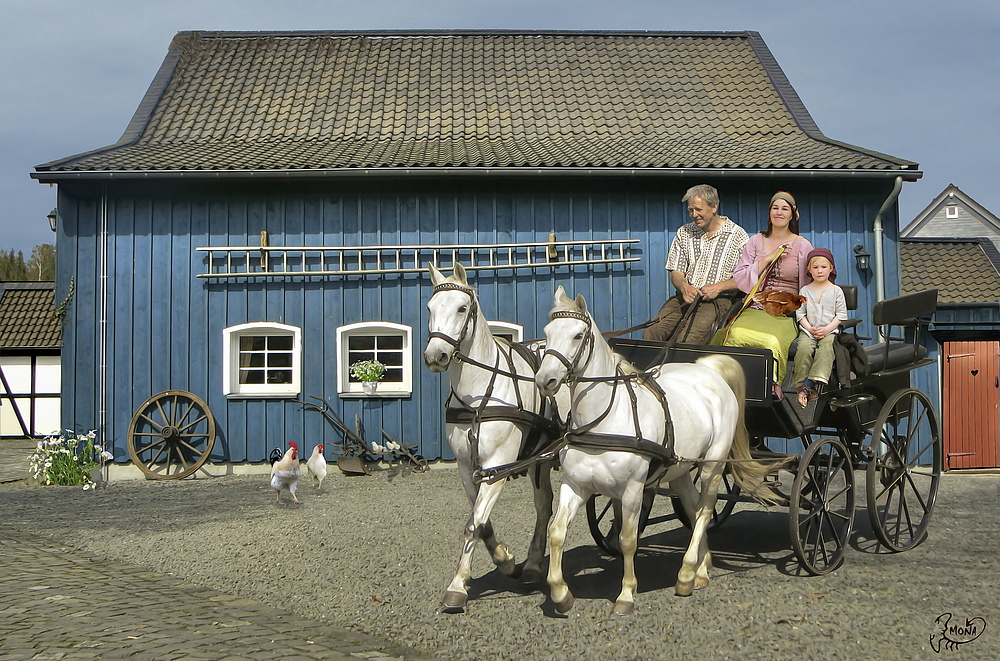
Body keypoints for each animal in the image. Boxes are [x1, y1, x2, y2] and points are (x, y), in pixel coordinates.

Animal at [422, 262, 564, 612]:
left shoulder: (496, 468)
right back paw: (532, 565)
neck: (478, 397)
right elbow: (481, 523)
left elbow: (473, 524)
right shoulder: (467, 469)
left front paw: (457, 586)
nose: (435, 356)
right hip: (538, 459)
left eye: (462, 308)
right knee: (544, 504)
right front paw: (506, 561)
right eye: (430, 307)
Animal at [536, 286, 784, 616]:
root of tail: (707, 369)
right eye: (547, 333)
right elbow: (556, 532)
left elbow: (628, 539)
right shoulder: (576, 484)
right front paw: (561, 593)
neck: (604, 419)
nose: (544, 380)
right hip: (679, 470)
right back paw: (700, 570)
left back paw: (686, 573)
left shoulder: (632, 488)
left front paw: (626, 595)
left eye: (578, 335)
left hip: (712, 464)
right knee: (693, 508)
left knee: (705, 510)